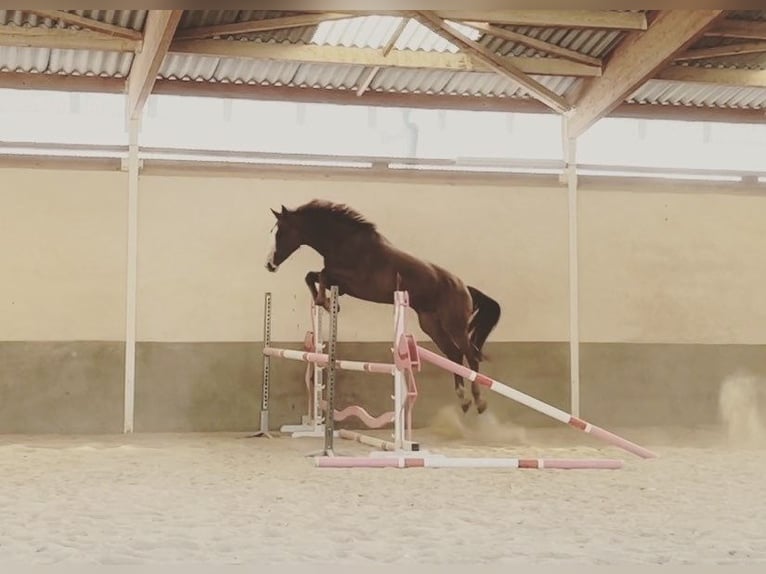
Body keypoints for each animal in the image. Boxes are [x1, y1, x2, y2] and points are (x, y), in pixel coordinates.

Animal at [264, 199, 501, 414]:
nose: (269, 265)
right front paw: (326, 303)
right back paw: (463, 400)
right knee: (455, 355)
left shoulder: (353, 282)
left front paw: (327, 303)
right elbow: (312, 276)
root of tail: (464, 287)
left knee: (470, 356)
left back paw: (479, 401)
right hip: (431, 324)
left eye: (280, 233)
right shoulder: (343, 285)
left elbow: (321, 274)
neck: (344, 243)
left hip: (455, 325)